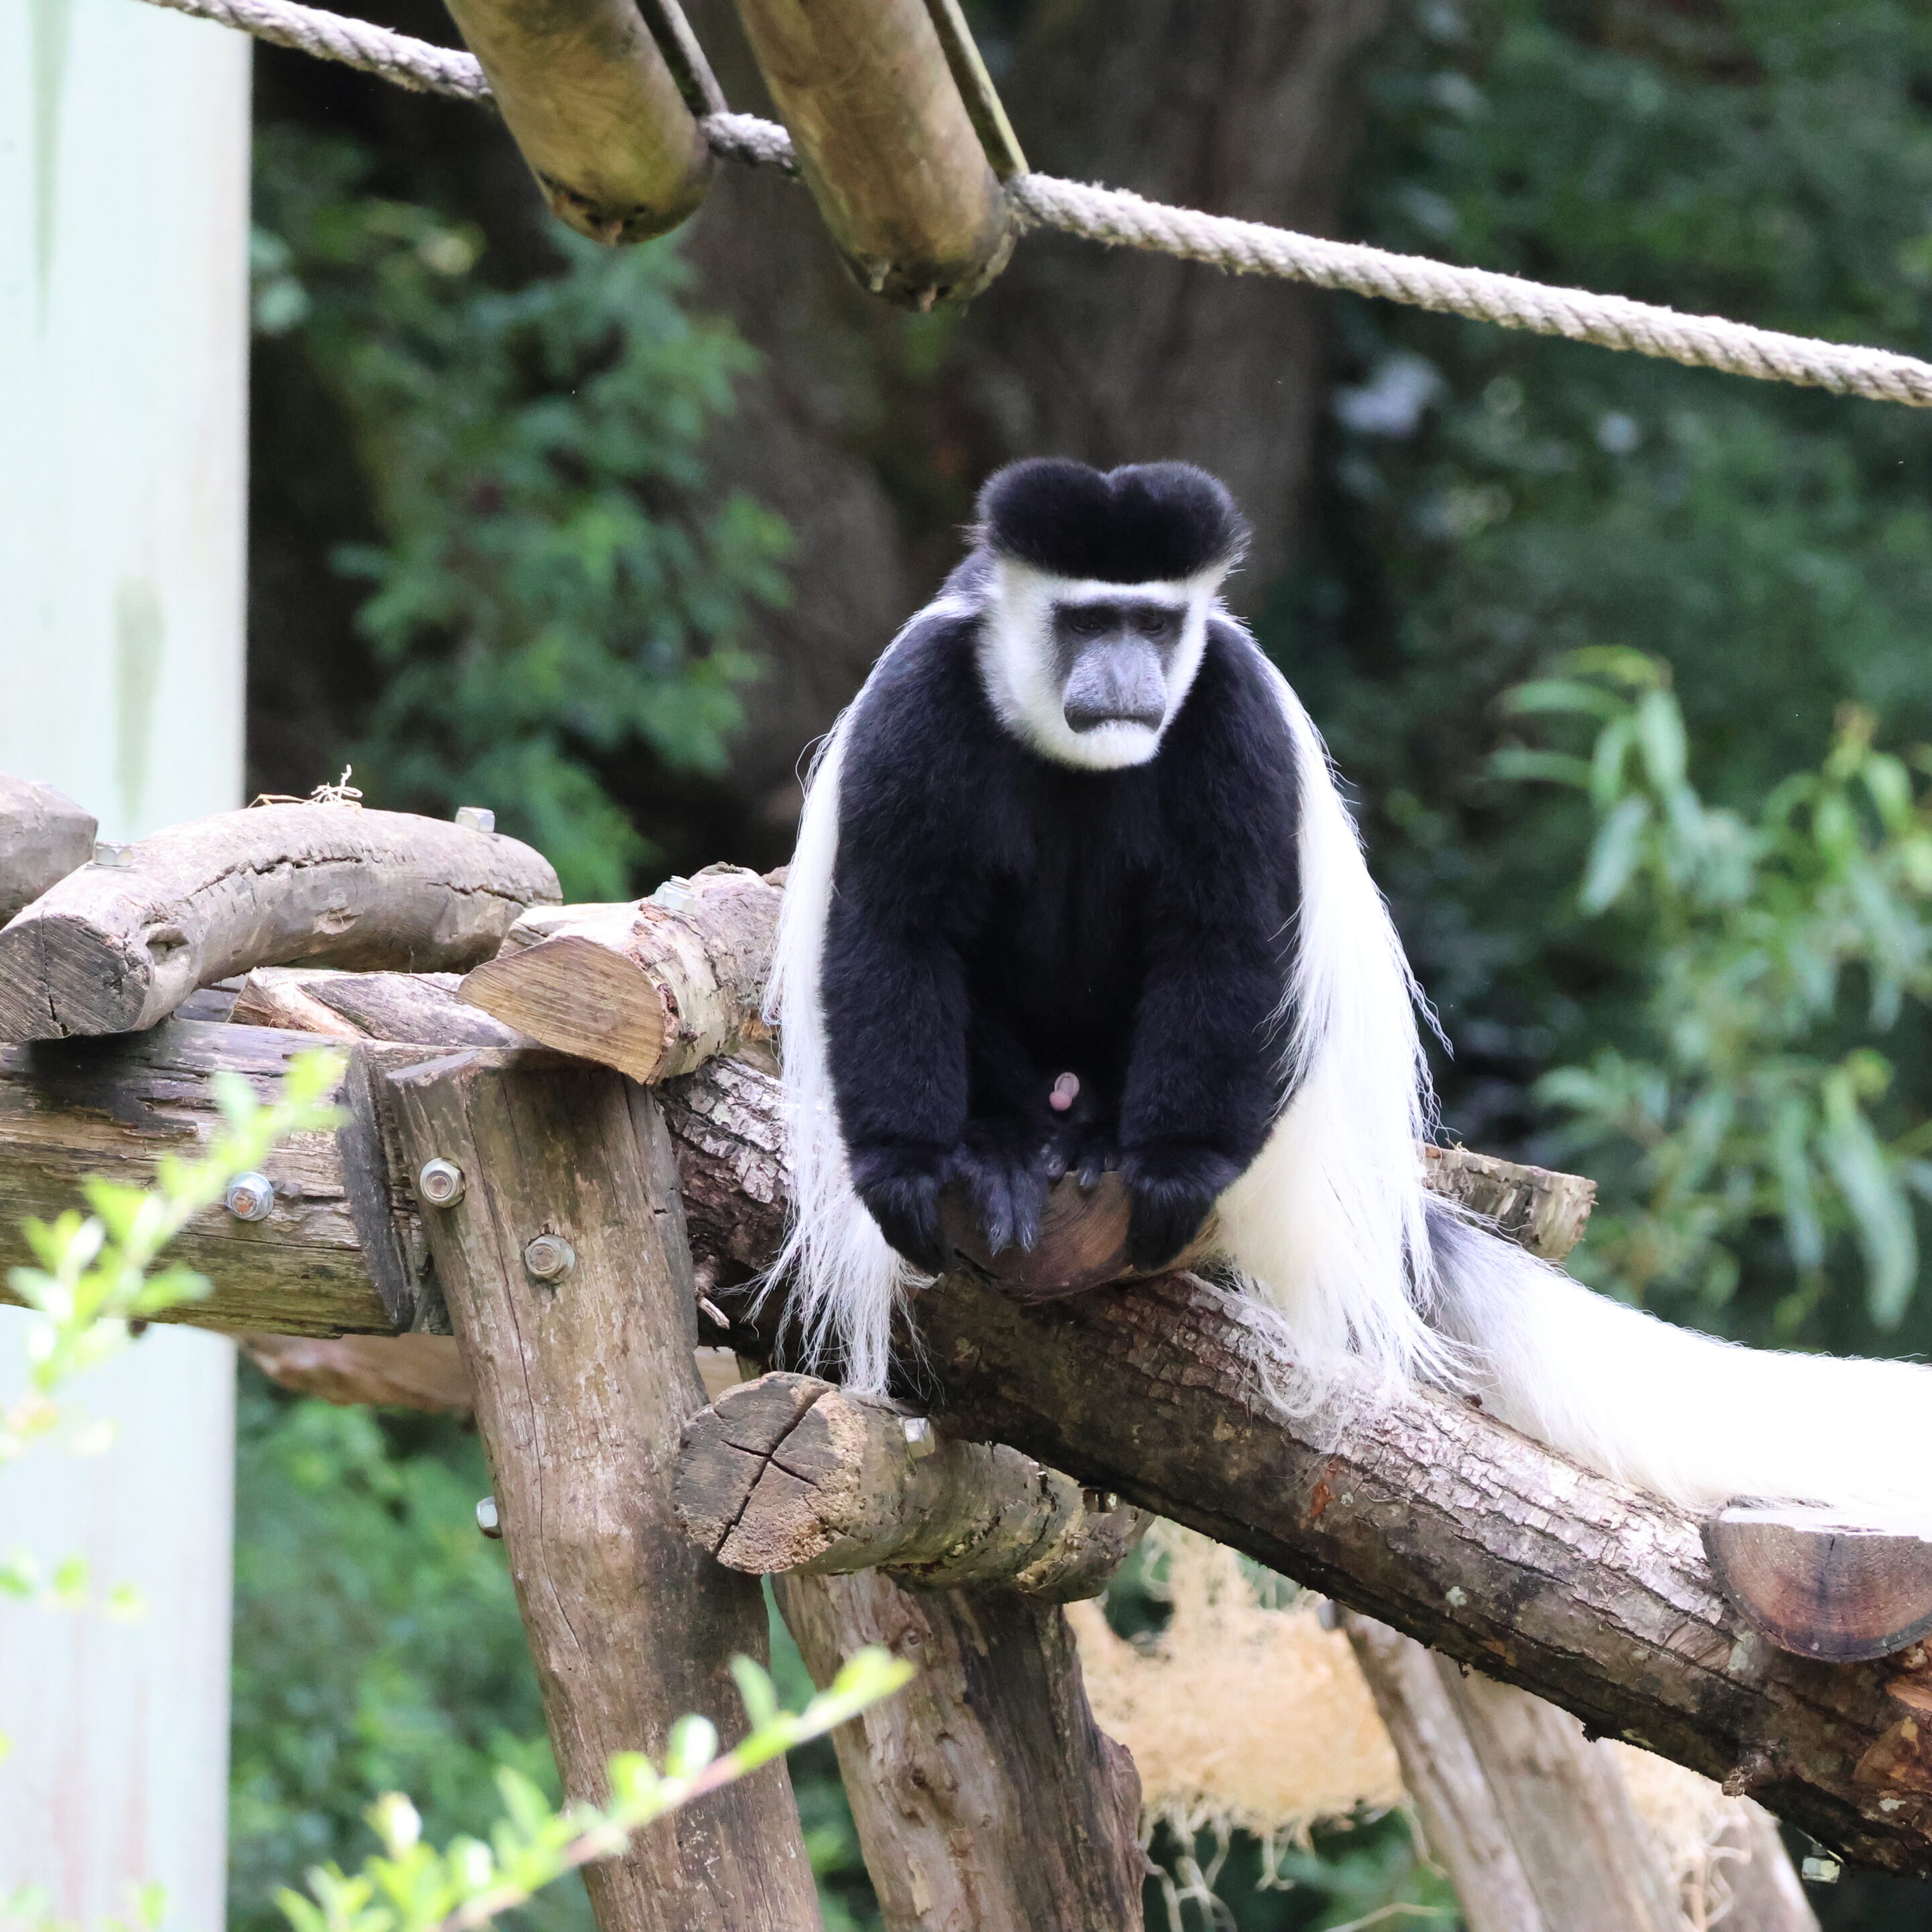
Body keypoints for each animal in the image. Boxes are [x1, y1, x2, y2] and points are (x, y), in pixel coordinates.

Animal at [766, 455, 1932, 1522]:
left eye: (1153, 625)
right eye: (1089, 620)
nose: (1129, 678)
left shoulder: (1230, 706)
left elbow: (1230, 930)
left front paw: (1170, 1175)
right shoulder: (919, 699)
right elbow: (896, 925)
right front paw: (910, 1173)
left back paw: (1094, 1140)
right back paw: (1005, 1148)